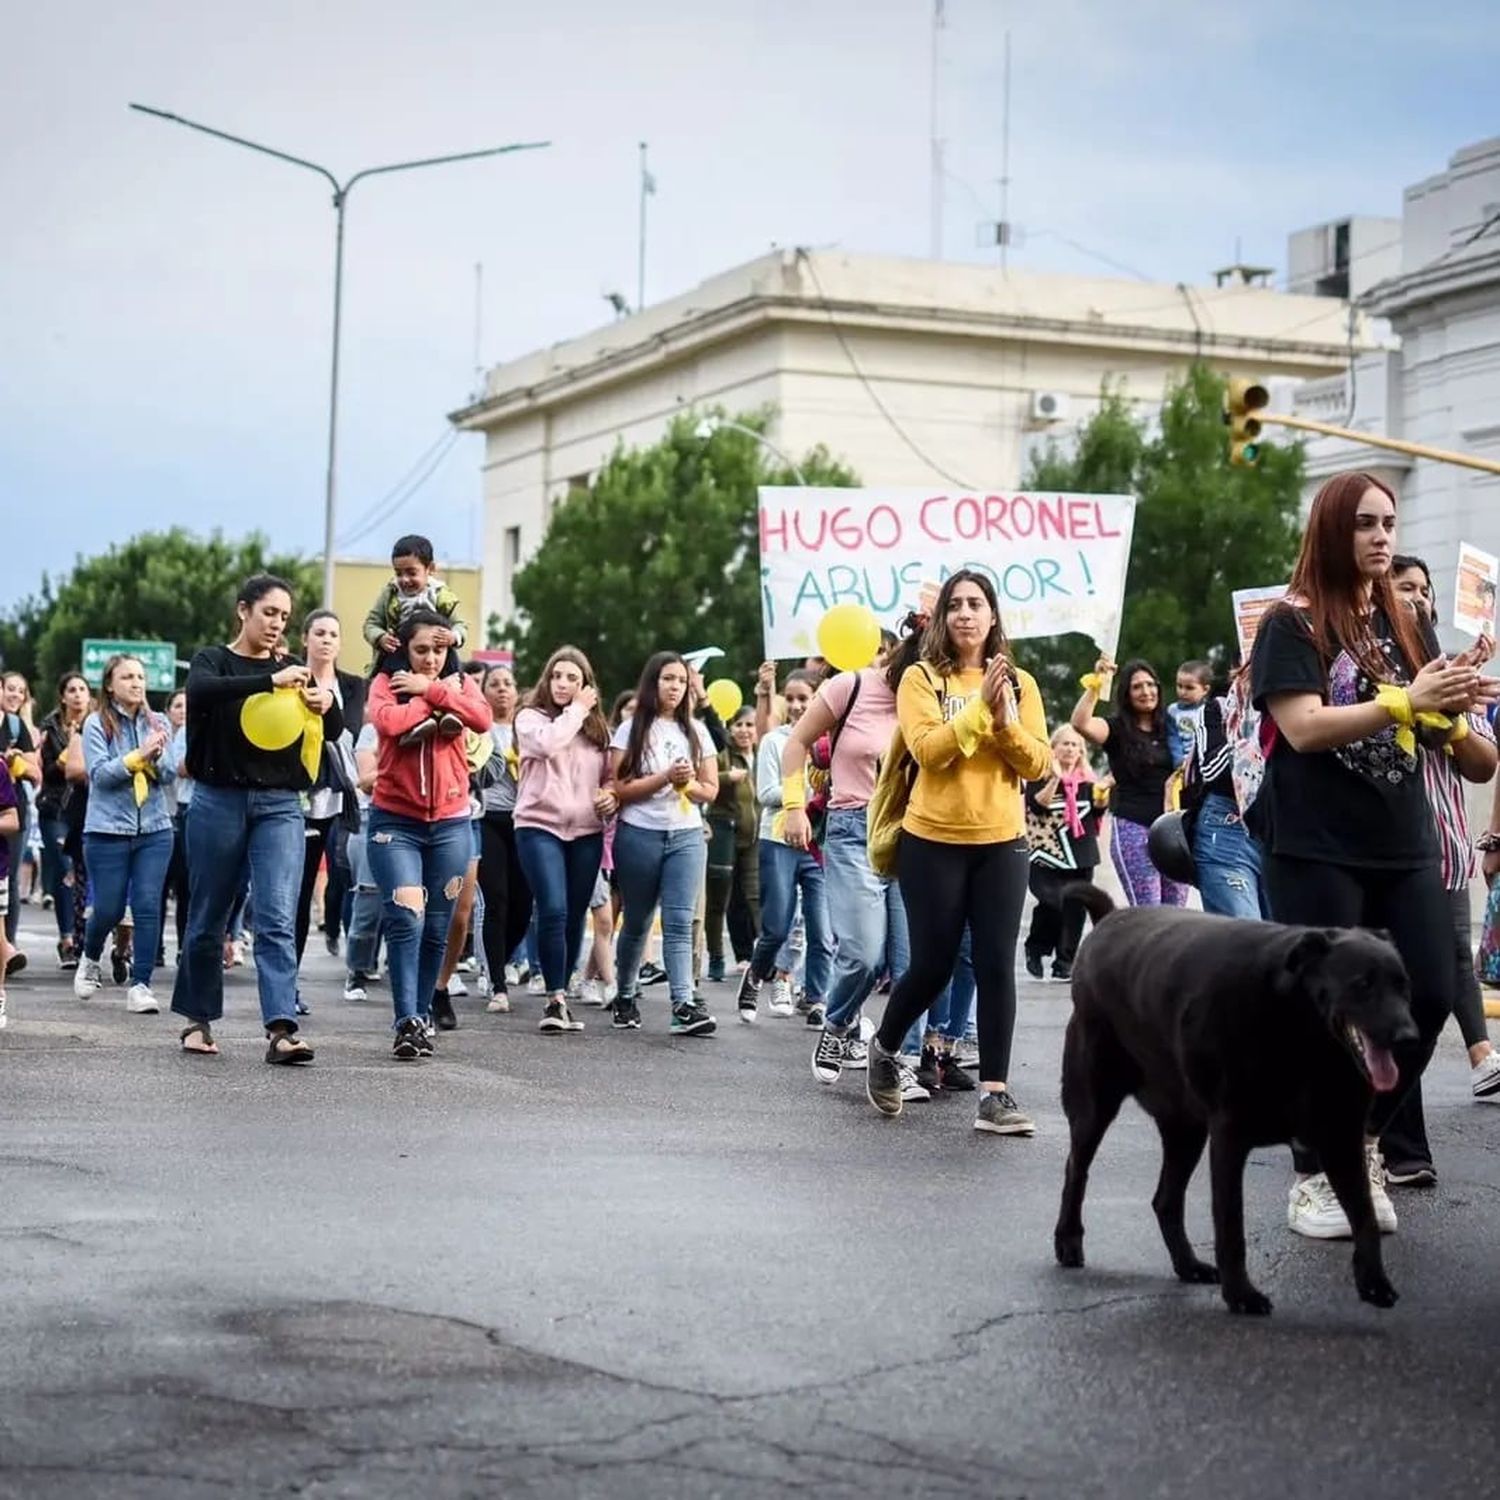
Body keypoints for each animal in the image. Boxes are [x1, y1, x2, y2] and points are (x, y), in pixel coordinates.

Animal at [1056, 888, 1416, 1314]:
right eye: (1362, 984)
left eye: (1403, 985)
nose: (1408, 1037)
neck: (1299, 1029)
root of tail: (1109, 919)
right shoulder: (1230, 1136)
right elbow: (1231, 1224)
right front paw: (1241, 1294)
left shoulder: (1341, 1138)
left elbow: (1365, 1217)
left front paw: (1374, 1281)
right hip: (1095, 1104)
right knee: (1076, 1172)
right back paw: (1068, 1241)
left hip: (1186, 1129)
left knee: (1165, 1200)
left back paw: (1188, 1265)